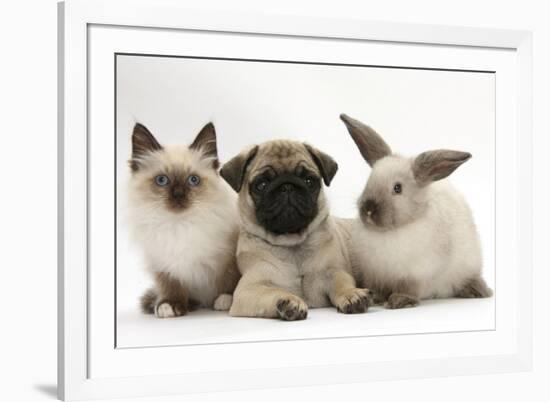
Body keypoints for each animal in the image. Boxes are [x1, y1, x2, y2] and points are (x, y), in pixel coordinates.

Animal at [130, 121, 243, 318]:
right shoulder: (163, 264)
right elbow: (171, 286)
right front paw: (169, 306)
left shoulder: (227, 257)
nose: (178, 195)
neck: (180, 226)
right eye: (162, 180)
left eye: (193, 180)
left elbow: (229, 279)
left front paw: (226, 299)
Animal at [222, 139, 374, 320]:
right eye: (261, 185)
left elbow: (342, 284)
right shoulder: (248, 289)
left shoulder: (334, 272)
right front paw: (289, 301)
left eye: (309, 181)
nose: (287, 186)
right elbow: (273, 292)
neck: (291, 243)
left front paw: (352, 294)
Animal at [342, 114, 494, 310]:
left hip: (470, 265)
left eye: (397, 188)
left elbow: (409, 289)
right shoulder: (375, 274)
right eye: (368, 181)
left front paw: (400, 300)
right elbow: (377, 287)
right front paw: (375, 297)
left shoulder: (416, 274)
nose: (368, 209)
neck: (390, 232)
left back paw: (478, 291)